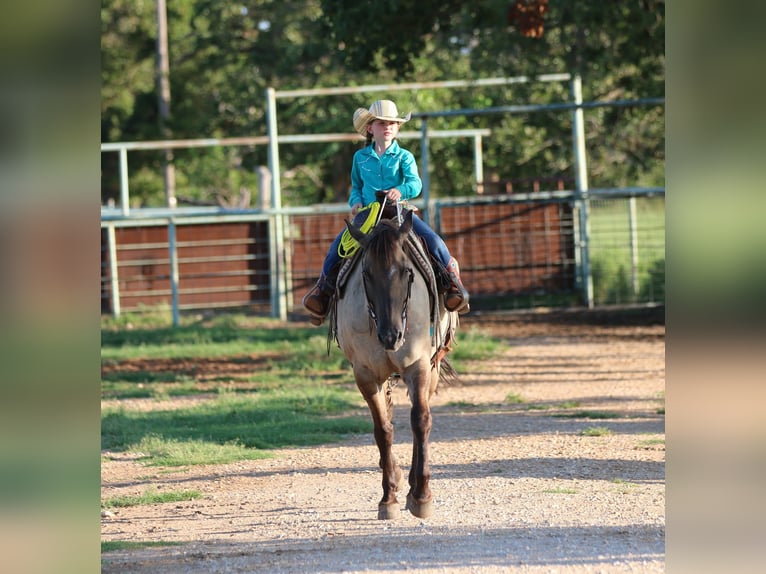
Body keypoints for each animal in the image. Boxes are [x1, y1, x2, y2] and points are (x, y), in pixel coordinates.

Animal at [330, 208, 458, 519]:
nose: (391, 336)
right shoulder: (365, 375)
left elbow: (420, 421)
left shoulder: (419, 366)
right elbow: (383, 429)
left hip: (432, 369)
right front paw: (388, 498)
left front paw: (422, 496)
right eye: (366, 274)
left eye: (406, 272)